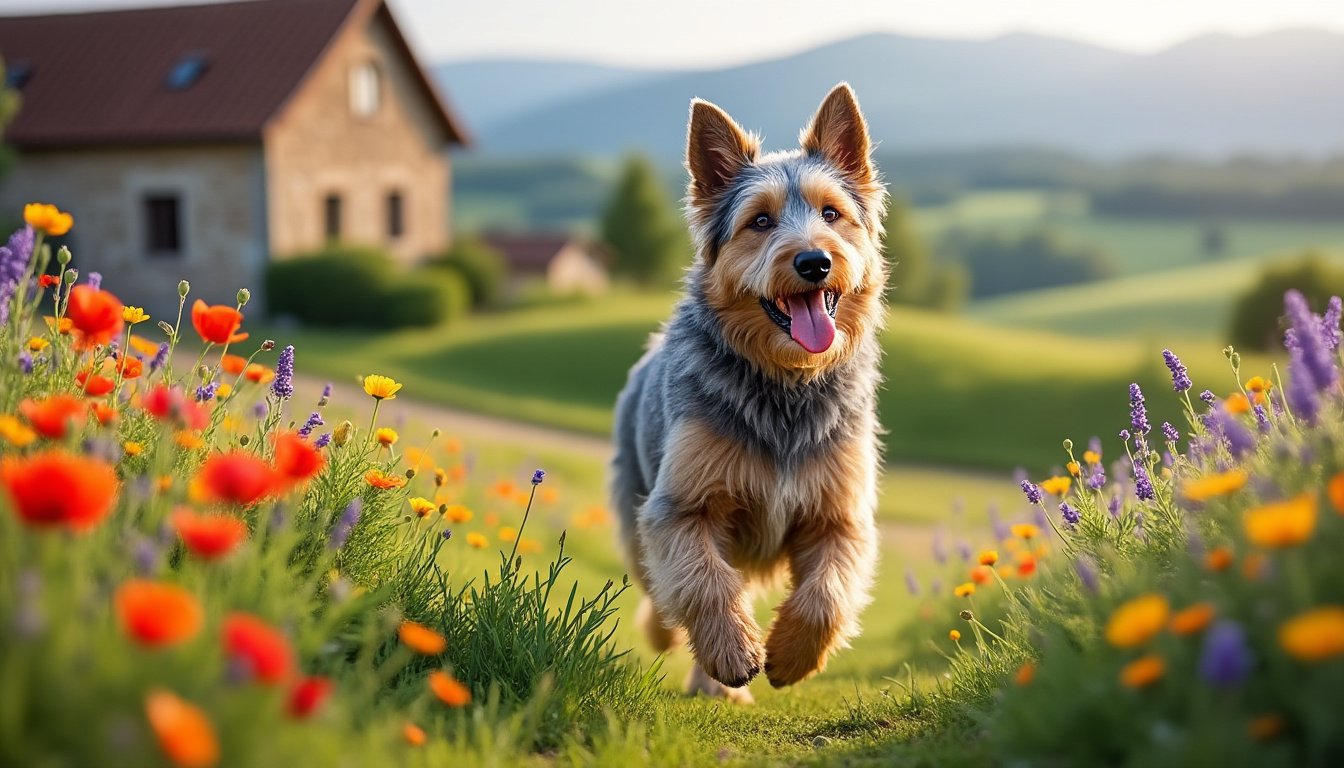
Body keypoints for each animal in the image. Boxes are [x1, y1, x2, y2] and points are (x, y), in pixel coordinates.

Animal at [612, 84, 887, 704]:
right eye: (760, 221)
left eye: (831, 214)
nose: (815, 261)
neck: (785, 380)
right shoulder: (680, 506)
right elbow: (703, 582)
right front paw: (735, 656)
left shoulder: (840, 514)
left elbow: (827, 593)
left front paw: (789, 656)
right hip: (633, 504)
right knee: (661, 589)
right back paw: (688, 656)